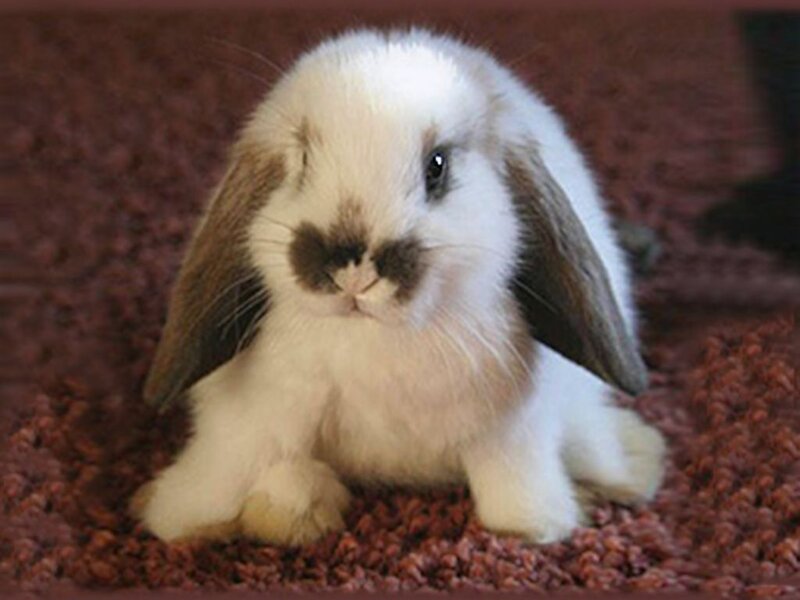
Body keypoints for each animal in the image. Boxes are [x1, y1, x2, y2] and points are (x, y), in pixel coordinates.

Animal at [131, 27, 666, 546]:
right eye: (302, 159)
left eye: (437, 166)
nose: (352, 267)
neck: (377, 342)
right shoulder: (256, 419)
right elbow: (230, 468)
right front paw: (187, 519)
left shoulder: (514, 432)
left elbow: (512, 497)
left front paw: (539, 526)